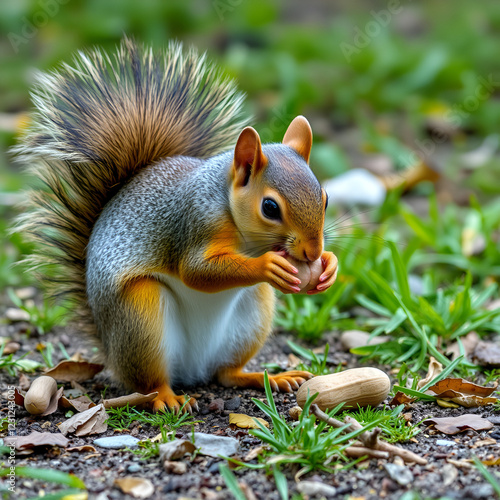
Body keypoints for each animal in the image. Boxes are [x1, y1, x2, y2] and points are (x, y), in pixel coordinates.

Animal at [13, 39, 338, 412]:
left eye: (325, 198)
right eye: (270, 207)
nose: (312, 251)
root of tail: (191, 369)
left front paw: (330, 266)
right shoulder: (193, 223)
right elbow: (195, 272)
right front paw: (268, 266)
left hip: (253, 314)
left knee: (226, 374)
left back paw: (268, 377)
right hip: (140, 316)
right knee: (151, 383)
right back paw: (169, 398)